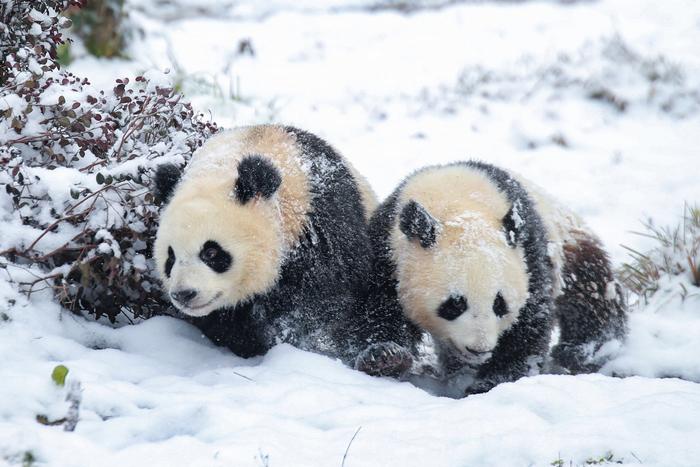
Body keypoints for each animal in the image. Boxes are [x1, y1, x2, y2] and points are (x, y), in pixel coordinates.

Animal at [358, 161, 628, 394]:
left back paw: (582, 350)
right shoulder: (389, 252)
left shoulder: (528, 254)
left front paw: (491, 382)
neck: (458, 205)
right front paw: (385, 357)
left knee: (592, 293)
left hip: (568, 241)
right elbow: (377, 306)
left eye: (500, 304)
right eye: (454, 304)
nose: (479, 349)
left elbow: (528, 324)